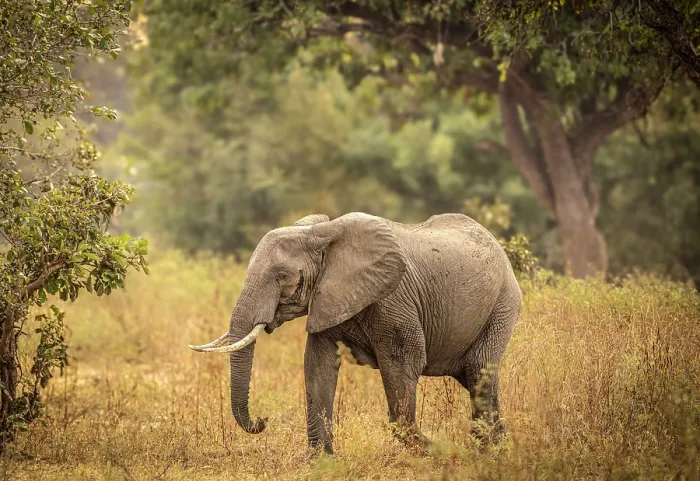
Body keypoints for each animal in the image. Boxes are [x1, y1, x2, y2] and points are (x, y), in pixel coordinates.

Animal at [189, 212, 522, 454]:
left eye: (281, 276)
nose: (262, 420)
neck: (319, 233)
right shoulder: (327, 299)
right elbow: (318, 366)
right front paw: (320, 462)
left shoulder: (395, 301)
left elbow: (403, 365)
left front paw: (437, 452)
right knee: (476, 380)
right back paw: (501, 450)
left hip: (502, 306)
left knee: (479, 373)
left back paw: (485, 453)